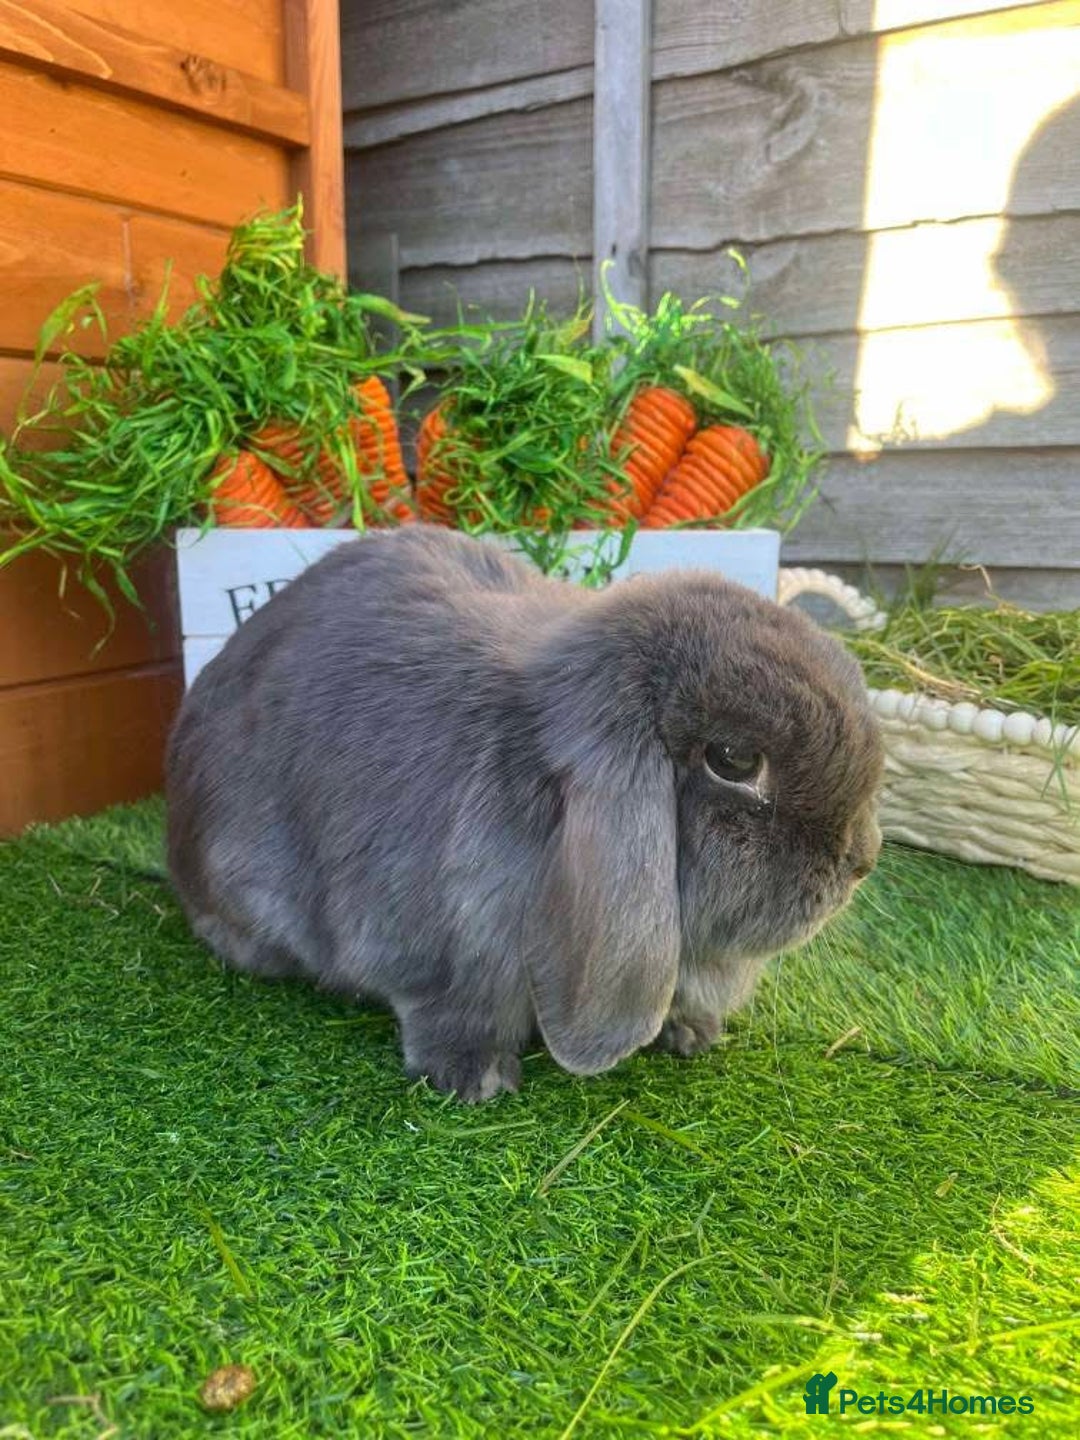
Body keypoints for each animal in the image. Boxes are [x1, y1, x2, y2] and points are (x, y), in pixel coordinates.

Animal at [166, 525, 883, 1101]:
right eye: (733, 759)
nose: (863, 859)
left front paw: (690, 1032)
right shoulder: (423, 954)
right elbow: (441, 1009)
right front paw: (474, 1079)